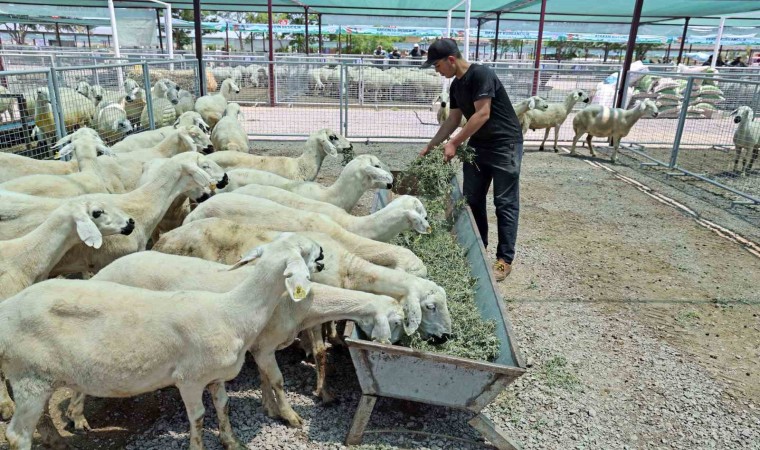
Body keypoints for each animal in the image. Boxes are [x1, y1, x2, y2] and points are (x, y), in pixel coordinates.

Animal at [0, 234, 324, 450]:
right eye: (306, 251)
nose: (322, 253)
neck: (232, 311)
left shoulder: (216, 376)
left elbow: (223, 407)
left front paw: (231, 441)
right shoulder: (189, 379)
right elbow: (198, 417)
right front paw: (197, 446)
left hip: (38, 379)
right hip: (29, 377)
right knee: (17, 436)